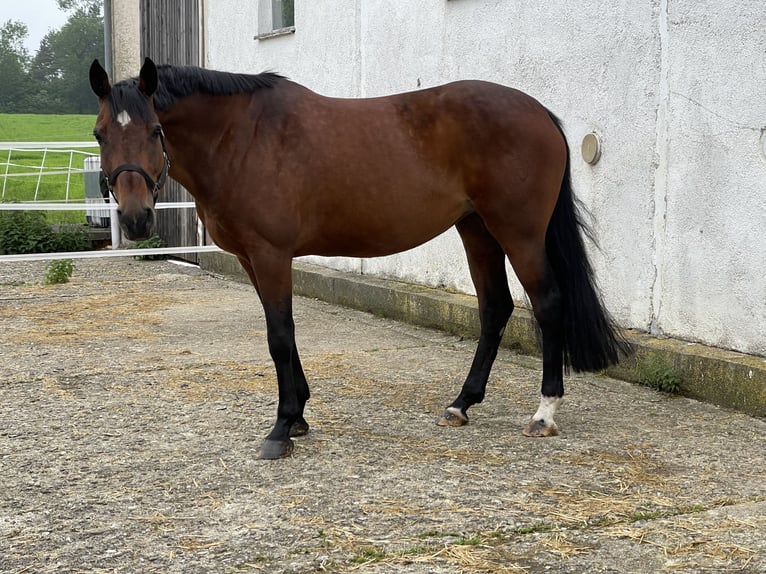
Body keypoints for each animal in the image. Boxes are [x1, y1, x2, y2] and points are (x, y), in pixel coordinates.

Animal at [88, 58, 632, 462]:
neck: (242, 136)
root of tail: (539, 112)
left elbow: (279, 336)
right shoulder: (251, 259)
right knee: (495, 308)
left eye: (155, 130)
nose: (135, 218)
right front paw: (299, 416)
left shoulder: (270, 254)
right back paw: (461, 404)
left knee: (548, 304)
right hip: (476, 229)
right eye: (98, 134)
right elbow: (283, 333)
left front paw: (281, 429)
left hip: (518, 232)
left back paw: (544, 414)